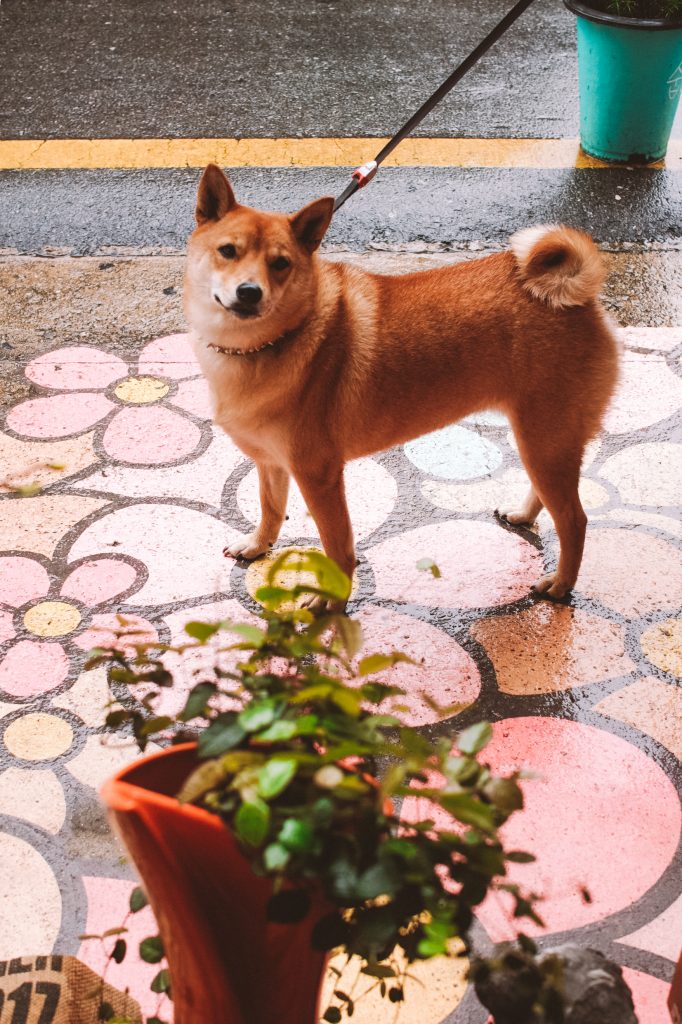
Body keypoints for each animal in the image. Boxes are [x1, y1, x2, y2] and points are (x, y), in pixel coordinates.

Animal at [183, 163, 618, 602]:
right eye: (228, 251)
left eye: (280, 263)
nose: (249, 292)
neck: (265, 346)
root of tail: (574, 296)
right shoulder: (271, 462)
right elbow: (271, 510)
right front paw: (258, 545)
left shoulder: (319, 476)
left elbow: (337, 545)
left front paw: (330, 601)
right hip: (538, 441)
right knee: (547, 496)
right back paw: (524, 514)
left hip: (545, 440)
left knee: (575, 519)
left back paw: (562, 583)